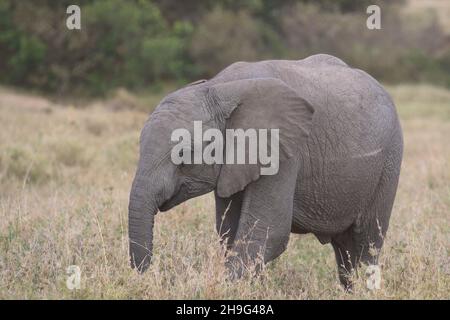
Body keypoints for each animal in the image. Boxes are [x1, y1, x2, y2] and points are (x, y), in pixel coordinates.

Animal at [127, 53, 404, 288]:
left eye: (185, 153)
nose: (147, 276)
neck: (219, 88)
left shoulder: (283, 151)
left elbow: (266, 233)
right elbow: (229, 231)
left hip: (389, 162)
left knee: (366, 243)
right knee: (345, 249)